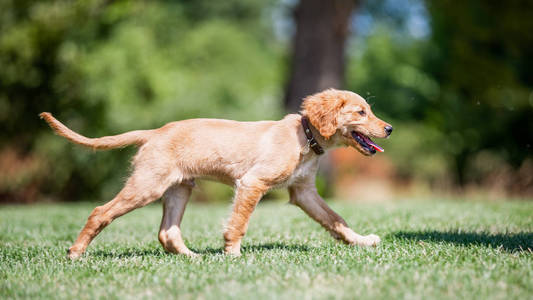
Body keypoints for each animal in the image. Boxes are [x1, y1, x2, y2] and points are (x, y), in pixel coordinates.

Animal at [40, 88, 390, 258]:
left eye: (370, 110)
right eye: (361, 112)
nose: (389, 128)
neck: (303, 136)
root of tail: (154, 132)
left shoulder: (304, 192)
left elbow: (336, 220)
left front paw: (362, 241)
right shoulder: (252, 183)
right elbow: (239, 222)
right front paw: (233, 254)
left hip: (179, 188)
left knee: (167, 232)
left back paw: (192, 258)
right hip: (147, 186)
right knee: (100, 211)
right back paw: (75, 253)